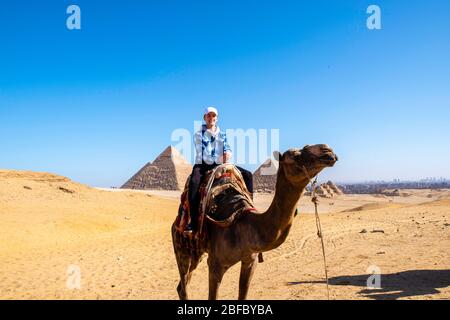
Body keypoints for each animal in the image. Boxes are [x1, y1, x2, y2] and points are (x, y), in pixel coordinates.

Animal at [171, 144, 338, 298]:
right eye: (296, 156)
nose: (327, 151)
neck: (243, 223)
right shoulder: (215, 265)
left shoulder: (250, 262)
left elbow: (243, 294)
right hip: (181, 250)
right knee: (183, 287)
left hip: (196, 253)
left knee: (181, 286)